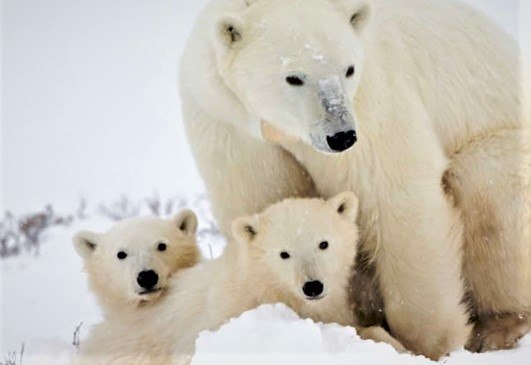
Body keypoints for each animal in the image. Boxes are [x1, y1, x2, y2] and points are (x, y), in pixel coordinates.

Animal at [180, 0, 531, 358]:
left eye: (348, 69)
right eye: (294, 77)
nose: (341, 135)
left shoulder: (374, 96)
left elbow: (395, 197)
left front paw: (429, 344)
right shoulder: (227, 121)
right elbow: (263, 199)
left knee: (486, 184)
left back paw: (498, 327)